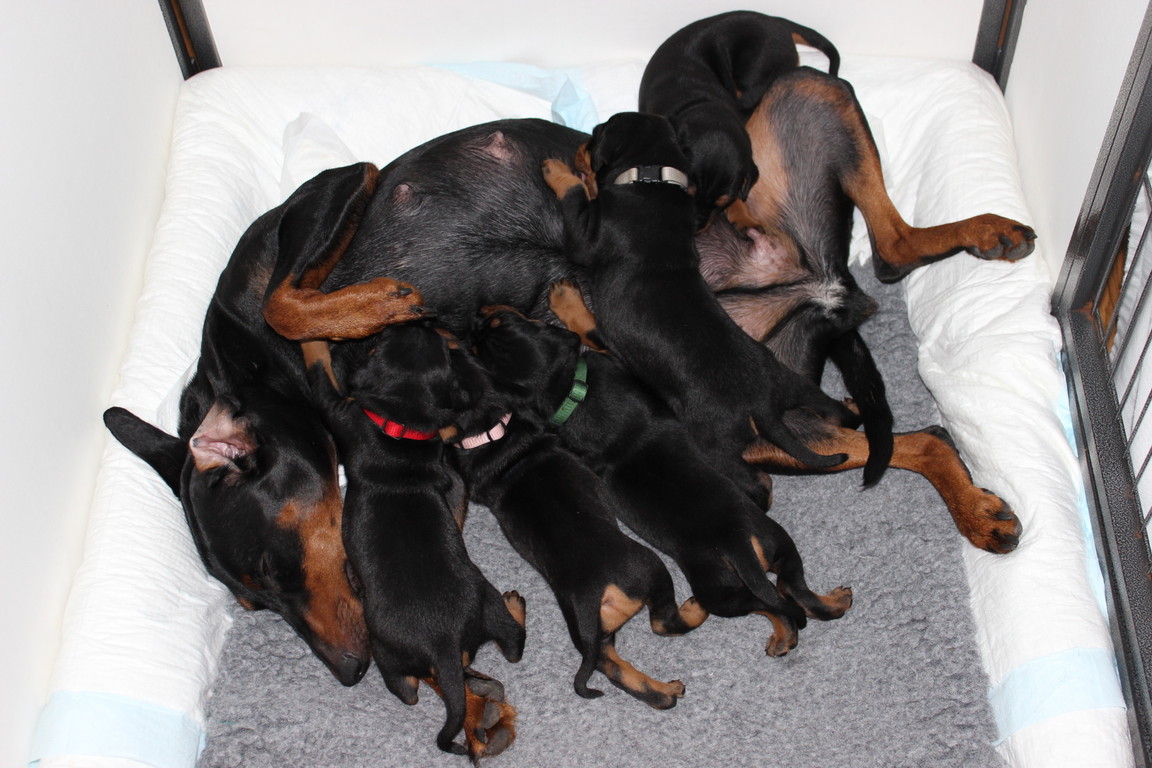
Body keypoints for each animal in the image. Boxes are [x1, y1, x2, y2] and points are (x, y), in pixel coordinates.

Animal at [307, 319, 527, 760]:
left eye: (382, 340)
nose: (418, 319)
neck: (401, 421)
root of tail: (443, 644)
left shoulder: (342, 412)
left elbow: (319, 371)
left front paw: (315, 338)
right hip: (485, 601)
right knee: (511, 645)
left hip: (386, 651)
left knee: (408, 690)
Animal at [460, 305, 705, 709]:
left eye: (486, 335)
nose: (476, 315)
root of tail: (598, 594)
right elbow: (592, 331)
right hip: (652, 570)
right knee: (663, 623)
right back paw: (695, 610)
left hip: (586, 630)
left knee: (610, 665)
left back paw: (664, 692)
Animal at [478, 296, 852, 656]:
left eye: (498, 324)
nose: (478, 314)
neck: (569, 391)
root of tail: (739, 546)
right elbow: (590, 329)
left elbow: (590, 330)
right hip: (725, 585)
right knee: (777, 599)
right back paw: (790, 629)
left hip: (776, 545)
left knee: (793, 590)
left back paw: (831, 604)